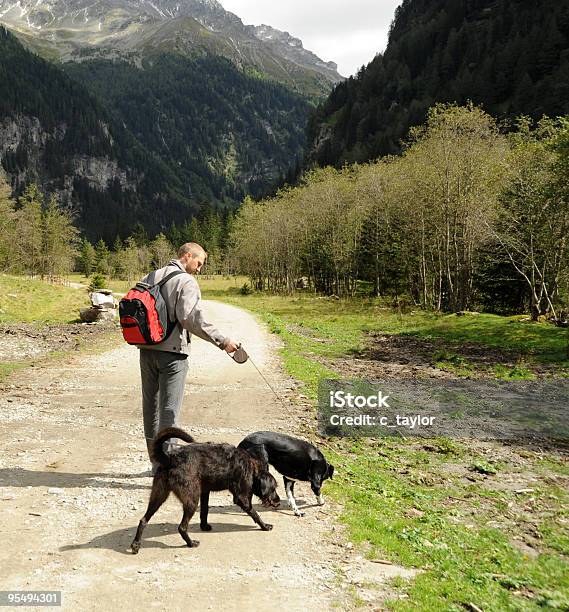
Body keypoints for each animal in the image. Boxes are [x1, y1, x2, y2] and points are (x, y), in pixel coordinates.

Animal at [129, 426, 280, 556]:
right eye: (274, 488)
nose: (278, 502)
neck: (252, 468)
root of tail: (169, 458)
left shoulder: (204, 492)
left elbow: (204, 511)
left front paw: (204, 526)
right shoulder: (241, 498)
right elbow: (255, 514)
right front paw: (265, 526)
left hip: (158, 496)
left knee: (143, 520)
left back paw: (136, 545)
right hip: (191, 501)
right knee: (181, 527)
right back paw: (190, 543)